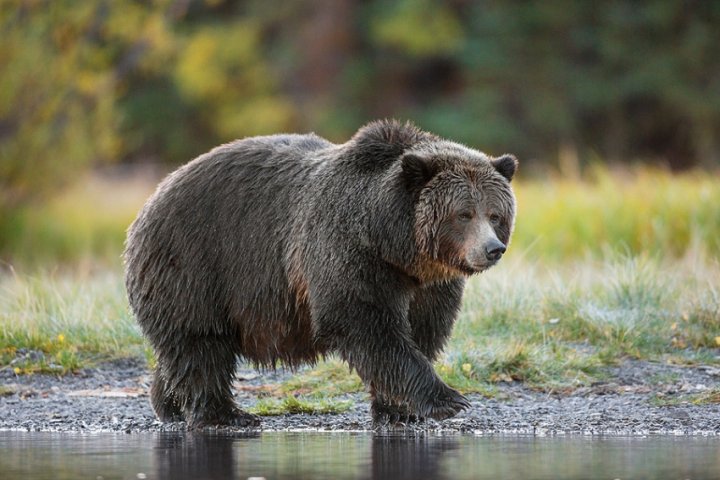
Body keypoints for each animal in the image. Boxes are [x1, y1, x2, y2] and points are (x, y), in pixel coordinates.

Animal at [125, 120, 516, 428]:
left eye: (495, 214)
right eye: (464, 214)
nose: (492, 249)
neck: (394, 243)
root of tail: (154, 194)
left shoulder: (429, 284)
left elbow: (423, 329)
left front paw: (398, 409)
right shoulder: (346, 251)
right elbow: (365, 323)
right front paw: (449, 400)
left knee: (185, 348)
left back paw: (169, 403)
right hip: (195, 261)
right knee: (201, 343)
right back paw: (225, 415)